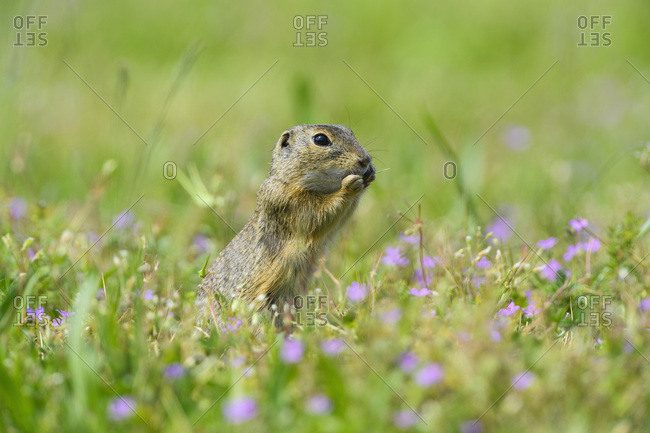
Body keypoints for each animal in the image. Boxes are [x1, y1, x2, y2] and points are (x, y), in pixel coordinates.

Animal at [198, 124, 375, 315]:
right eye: (320, 139)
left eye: (350, 131)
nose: (365, 159)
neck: (290, 179)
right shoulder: (289, 202)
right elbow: (320, 215)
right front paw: (349, 185)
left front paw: (370, 175)